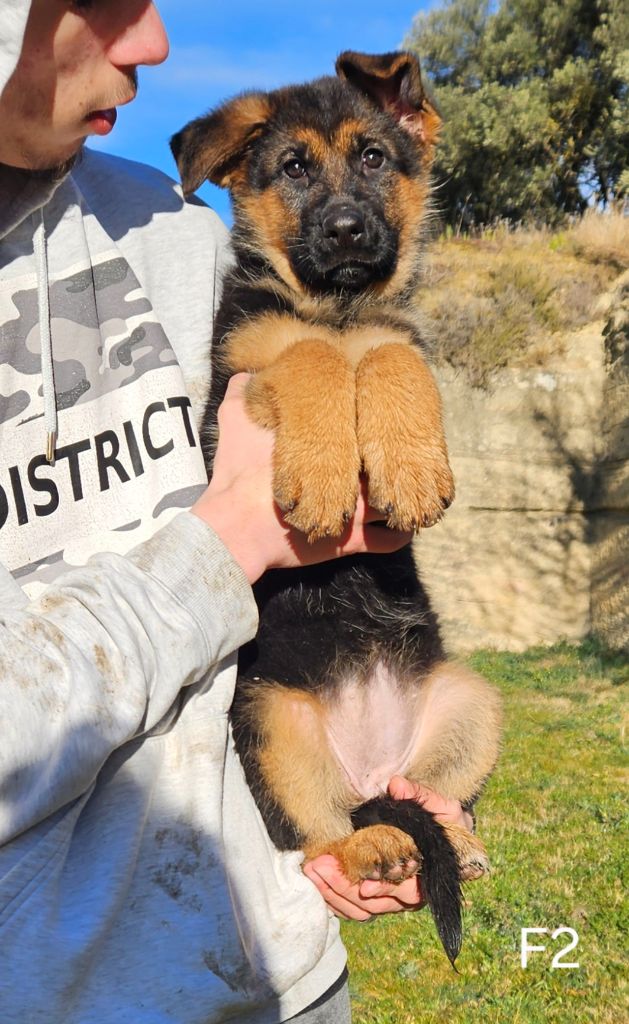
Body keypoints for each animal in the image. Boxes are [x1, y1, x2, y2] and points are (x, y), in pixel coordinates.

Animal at [171, 51, 501, 962]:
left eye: (374, 159)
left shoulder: (394, 334)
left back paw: (452, 837)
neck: (340, 304)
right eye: (292, 168)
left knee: (426, 794)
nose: (349, 231)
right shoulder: (240, 376)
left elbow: (392, 355)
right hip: (270, 719)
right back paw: (371, 845)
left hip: (470, 699)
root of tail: (365, 769)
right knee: (319, 832)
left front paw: (411, 467)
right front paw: (320, 474)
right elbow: (307, 353)